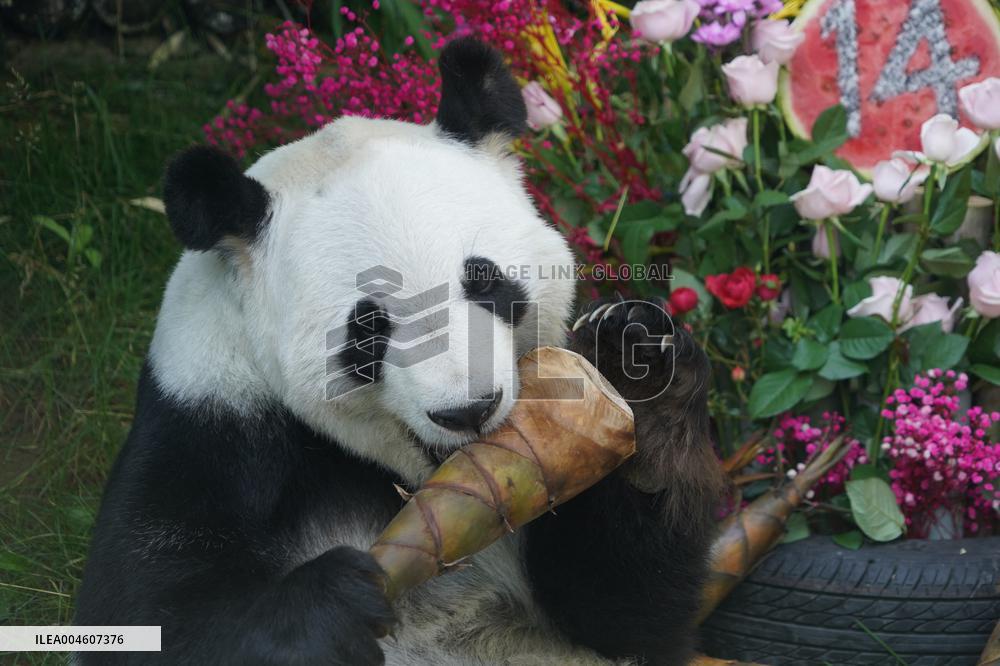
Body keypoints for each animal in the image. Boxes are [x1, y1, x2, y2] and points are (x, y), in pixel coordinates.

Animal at [75, 38, 725, 666]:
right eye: (368, 331)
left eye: (485, 282)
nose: (467, 411)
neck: (417, 483)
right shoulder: (206, 415)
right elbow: (146, 613)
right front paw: (334, 604)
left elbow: (627, 616)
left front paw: (639, 363)